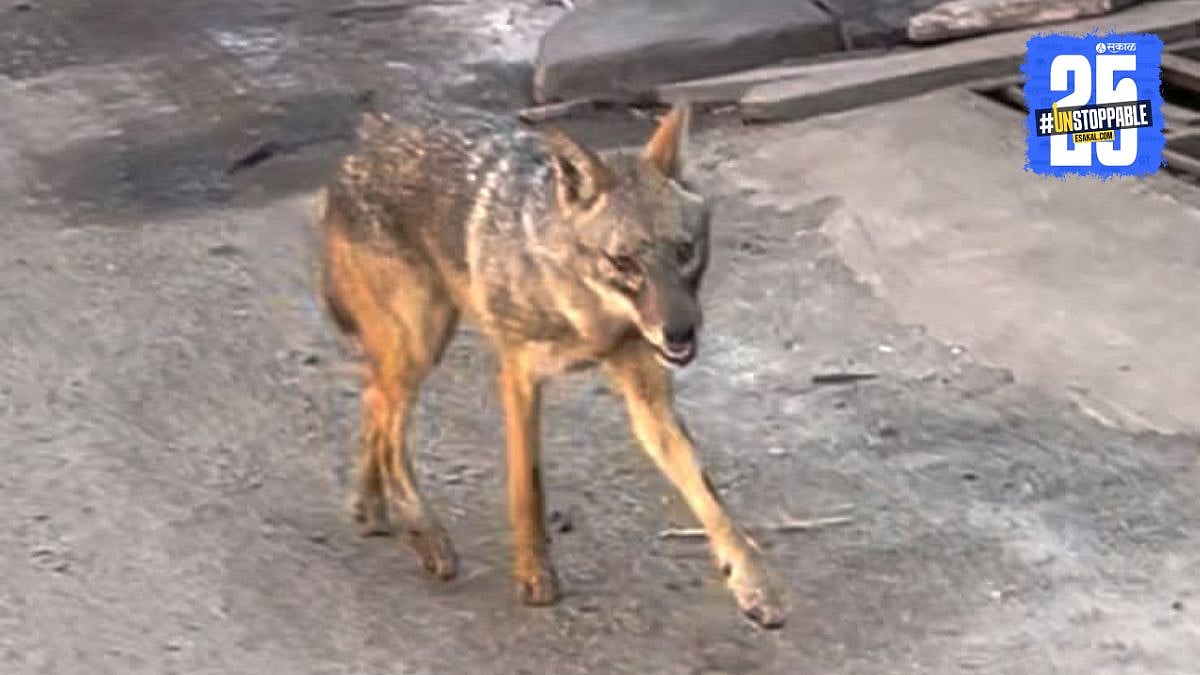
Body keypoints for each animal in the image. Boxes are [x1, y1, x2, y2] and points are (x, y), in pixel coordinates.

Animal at [314, 99, 786, 628]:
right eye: (623, 263)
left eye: (684, 250)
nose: (681, 334)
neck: (591, 318)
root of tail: (363, 141)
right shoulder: (519, 377)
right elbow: (528, 488)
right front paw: (535, 576)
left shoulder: (650, 397)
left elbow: (711, 500)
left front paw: (754, 585)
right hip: (419, 345)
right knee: (391, 429)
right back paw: (426, 534)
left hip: (418, 345)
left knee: (374, 400)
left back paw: (372, 507)